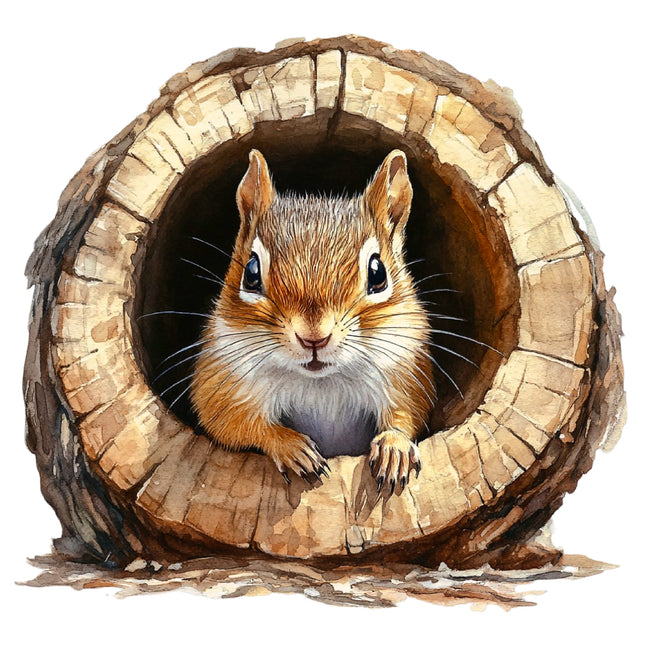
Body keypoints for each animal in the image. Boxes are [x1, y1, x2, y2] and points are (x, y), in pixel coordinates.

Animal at [189, 149, 434, 493]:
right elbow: (232, 422)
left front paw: (393, 447)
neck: (321, 383)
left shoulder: (406, 370)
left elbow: (407, 412)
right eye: (251, 272)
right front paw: (291, 447)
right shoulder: (223, 380)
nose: (314, 338)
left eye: (378, 274)